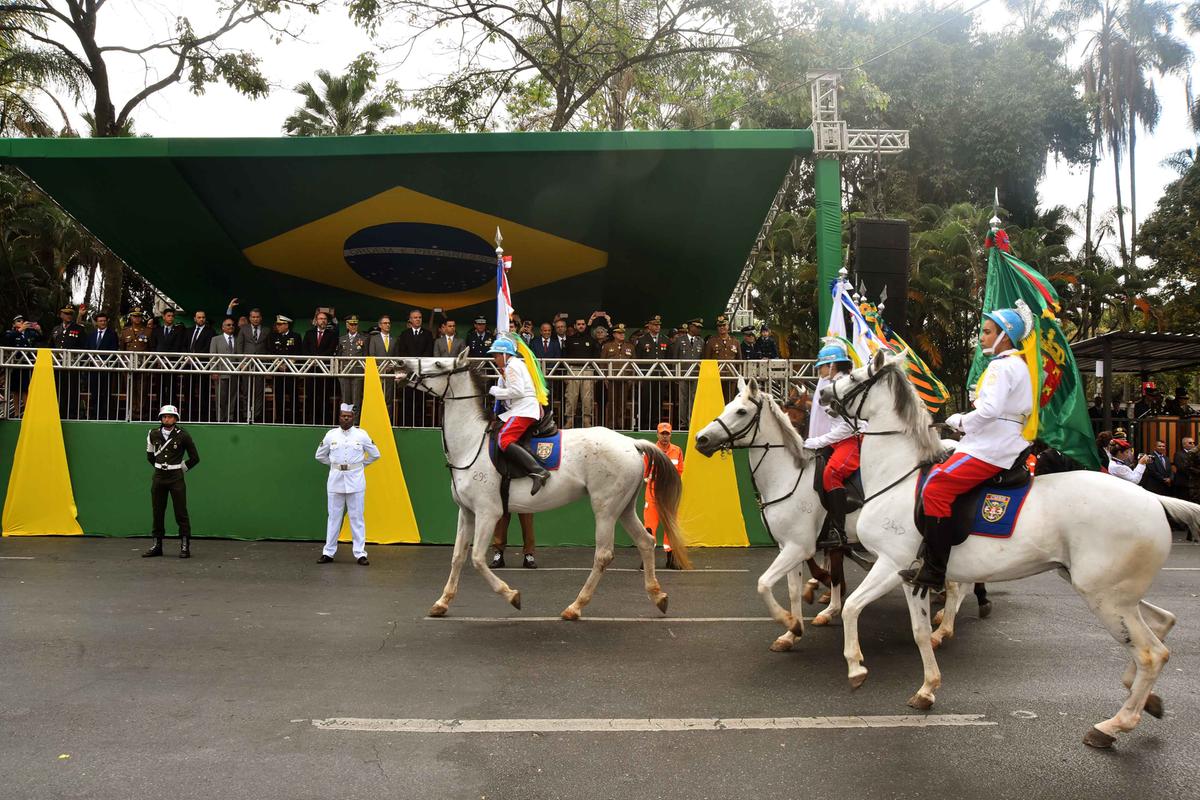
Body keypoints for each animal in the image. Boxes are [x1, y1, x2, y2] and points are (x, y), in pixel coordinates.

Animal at [396, 352, 691, 623]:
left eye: (438, 363)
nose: (400, 364)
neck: (470, 443)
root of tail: (632, 443)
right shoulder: (466, 513)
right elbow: (458, 556)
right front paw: (442, 602)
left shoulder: (488, 513)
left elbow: (478, 558)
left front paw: (511, 595)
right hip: (624, 507)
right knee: (646, 541)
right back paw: (658, 596)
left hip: (605, 509)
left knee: (604, 555)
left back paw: (575, 607)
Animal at [696, 381, 955, 652]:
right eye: (728, 406)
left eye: (741, 411)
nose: (701, 439)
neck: (787, 475)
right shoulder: (789, 546)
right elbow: (794, 589)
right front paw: (792, 632)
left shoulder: (800, 546)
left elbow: (765, 583)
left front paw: (792, 620)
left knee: (955, 585)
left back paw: (942, 627)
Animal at [820, 350, 1185, 753]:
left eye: (854, 376)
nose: (822, 394)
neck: (898, 477)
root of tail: (1153, 500)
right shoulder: (911, 576)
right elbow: (919, 632)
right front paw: (927, 689)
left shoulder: (889, 564)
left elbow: (852, 608)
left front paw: (856, 667)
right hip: (1112, 592)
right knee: (1161, 624)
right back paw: (1143, 697)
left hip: (1106, 598)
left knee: (1151, 653)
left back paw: (1113, 724)